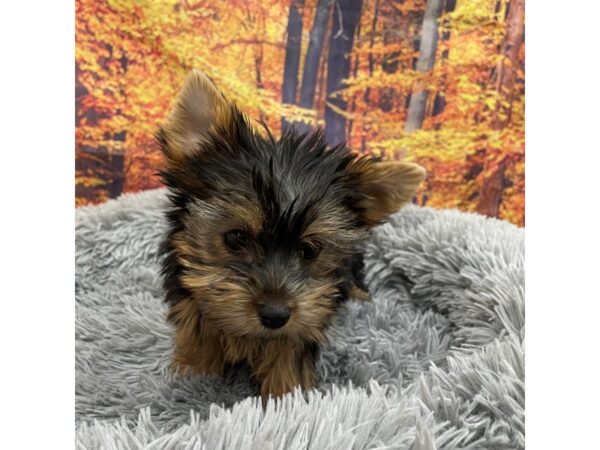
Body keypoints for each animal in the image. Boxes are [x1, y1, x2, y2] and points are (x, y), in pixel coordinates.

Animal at [157, 68, 424, 400]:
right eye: (236, 238)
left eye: (310, 250)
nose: (275, 315)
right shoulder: (191, 297)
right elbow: (198, 329)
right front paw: (193, 372)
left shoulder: (304, 319)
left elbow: (288, 352)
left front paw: (287, 396)